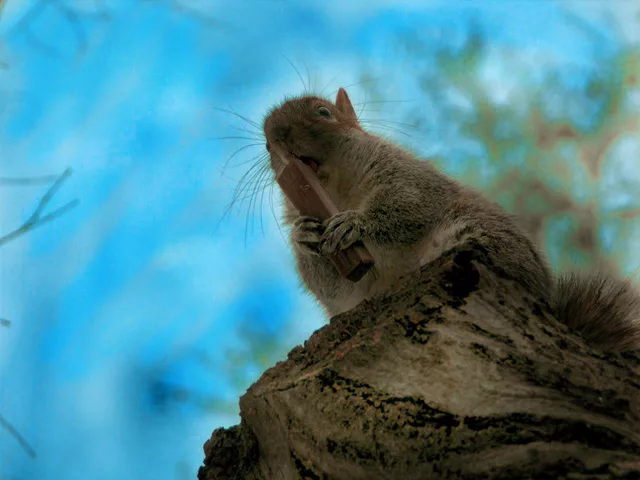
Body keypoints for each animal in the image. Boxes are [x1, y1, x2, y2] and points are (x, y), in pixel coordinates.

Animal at [263, 87, 640, 353]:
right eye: (266, 147)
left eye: (323, 112)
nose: (275, 136)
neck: (338, 192)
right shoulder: (348, 287)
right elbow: (333, 287)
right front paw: (304, 237)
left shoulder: (409, 177)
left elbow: (410, 205)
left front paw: (356, 222)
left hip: (484, 240)